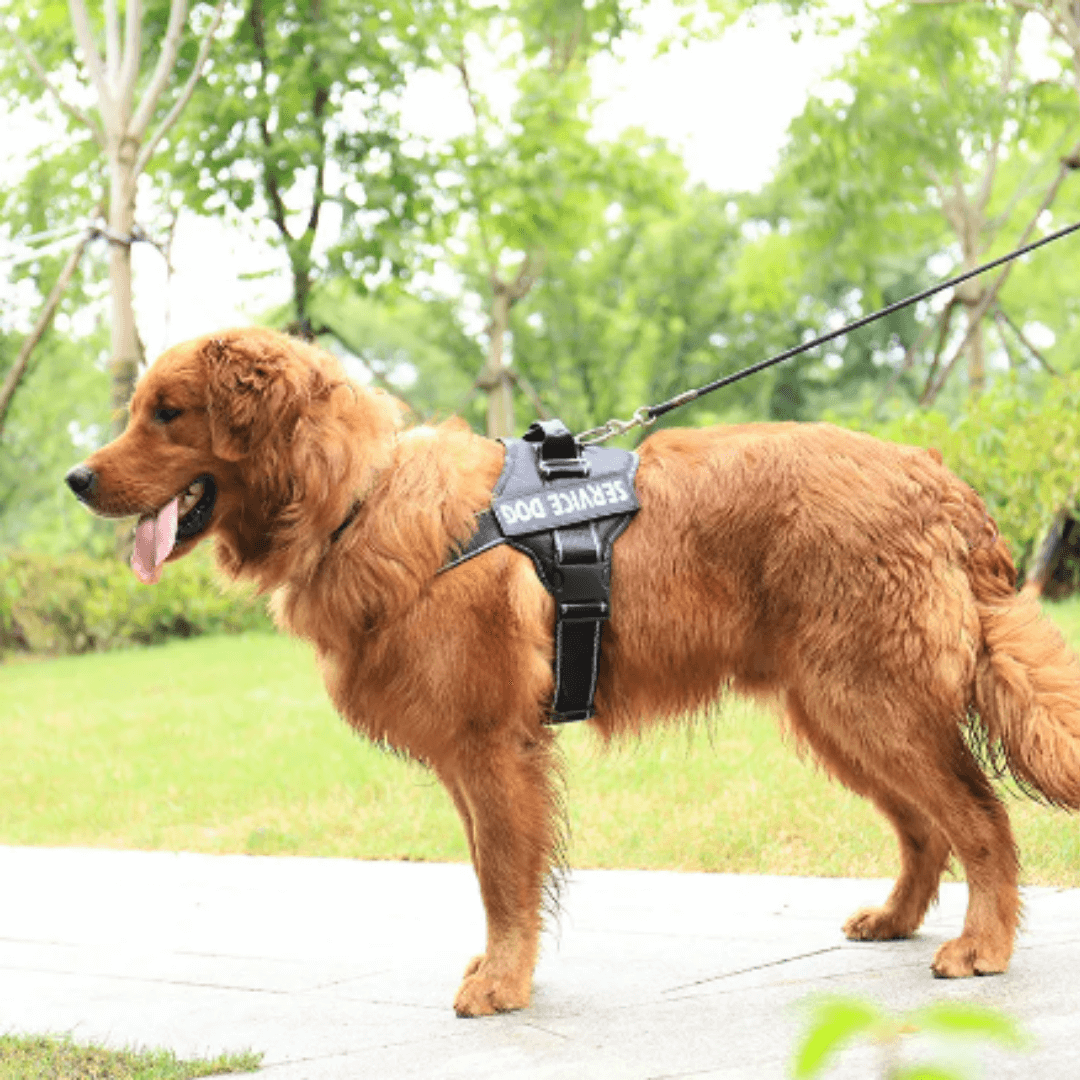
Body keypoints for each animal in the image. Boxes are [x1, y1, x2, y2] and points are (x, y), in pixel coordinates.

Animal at [65, 326, 1080, 1010]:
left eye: (168, 414)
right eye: (138, 412)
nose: (77, 480)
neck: (357, 499)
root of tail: (938, 477)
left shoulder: (494, 748)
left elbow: (504, 877)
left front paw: (503, 982)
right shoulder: (471, 758)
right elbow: (492, 869)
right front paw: (497, 968)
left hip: (869, 700)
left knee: (980, 818)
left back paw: (983, 944)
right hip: (837, 711)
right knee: (925, 827)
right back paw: (899, 918)